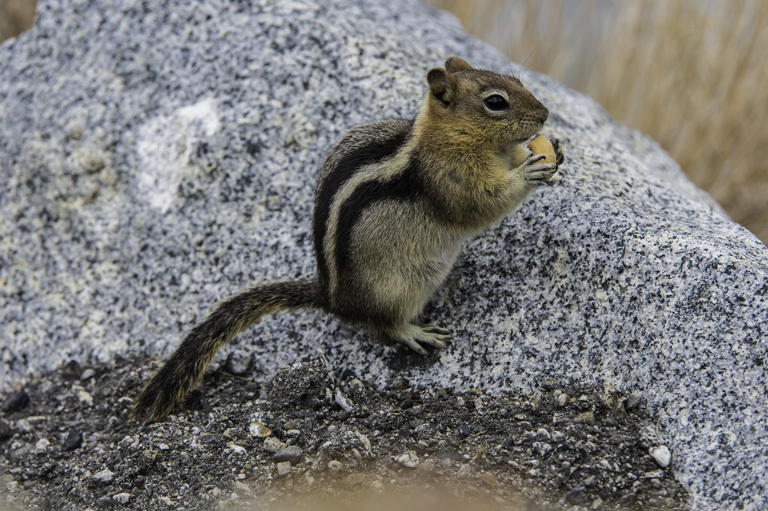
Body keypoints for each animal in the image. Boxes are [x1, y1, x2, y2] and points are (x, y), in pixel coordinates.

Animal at [132, 58, 564, 422]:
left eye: (517, 81)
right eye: (496, 102)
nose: (545, 114)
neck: (447, 138)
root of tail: (330, 297)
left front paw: (552, 149)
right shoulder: (454, 180)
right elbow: (485, 204)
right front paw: (528, 172)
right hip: (402, 286)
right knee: (383, 325)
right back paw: (415, 332)